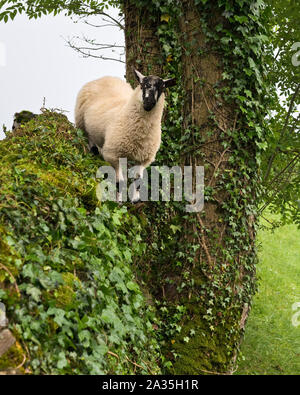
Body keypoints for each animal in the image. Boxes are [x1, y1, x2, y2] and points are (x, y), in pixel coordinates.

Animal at [74, 68, 176, 203]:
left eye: (162, 88)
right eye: (142, 85)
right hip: (82, 125)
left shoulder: (143, 159)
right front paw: (119, 201)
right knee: (90, 141)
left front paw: (135, 200)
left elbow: (138, 180)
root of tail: (105, 77)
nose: (149, 102)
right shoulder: (113, 155)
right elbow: (120, 182)